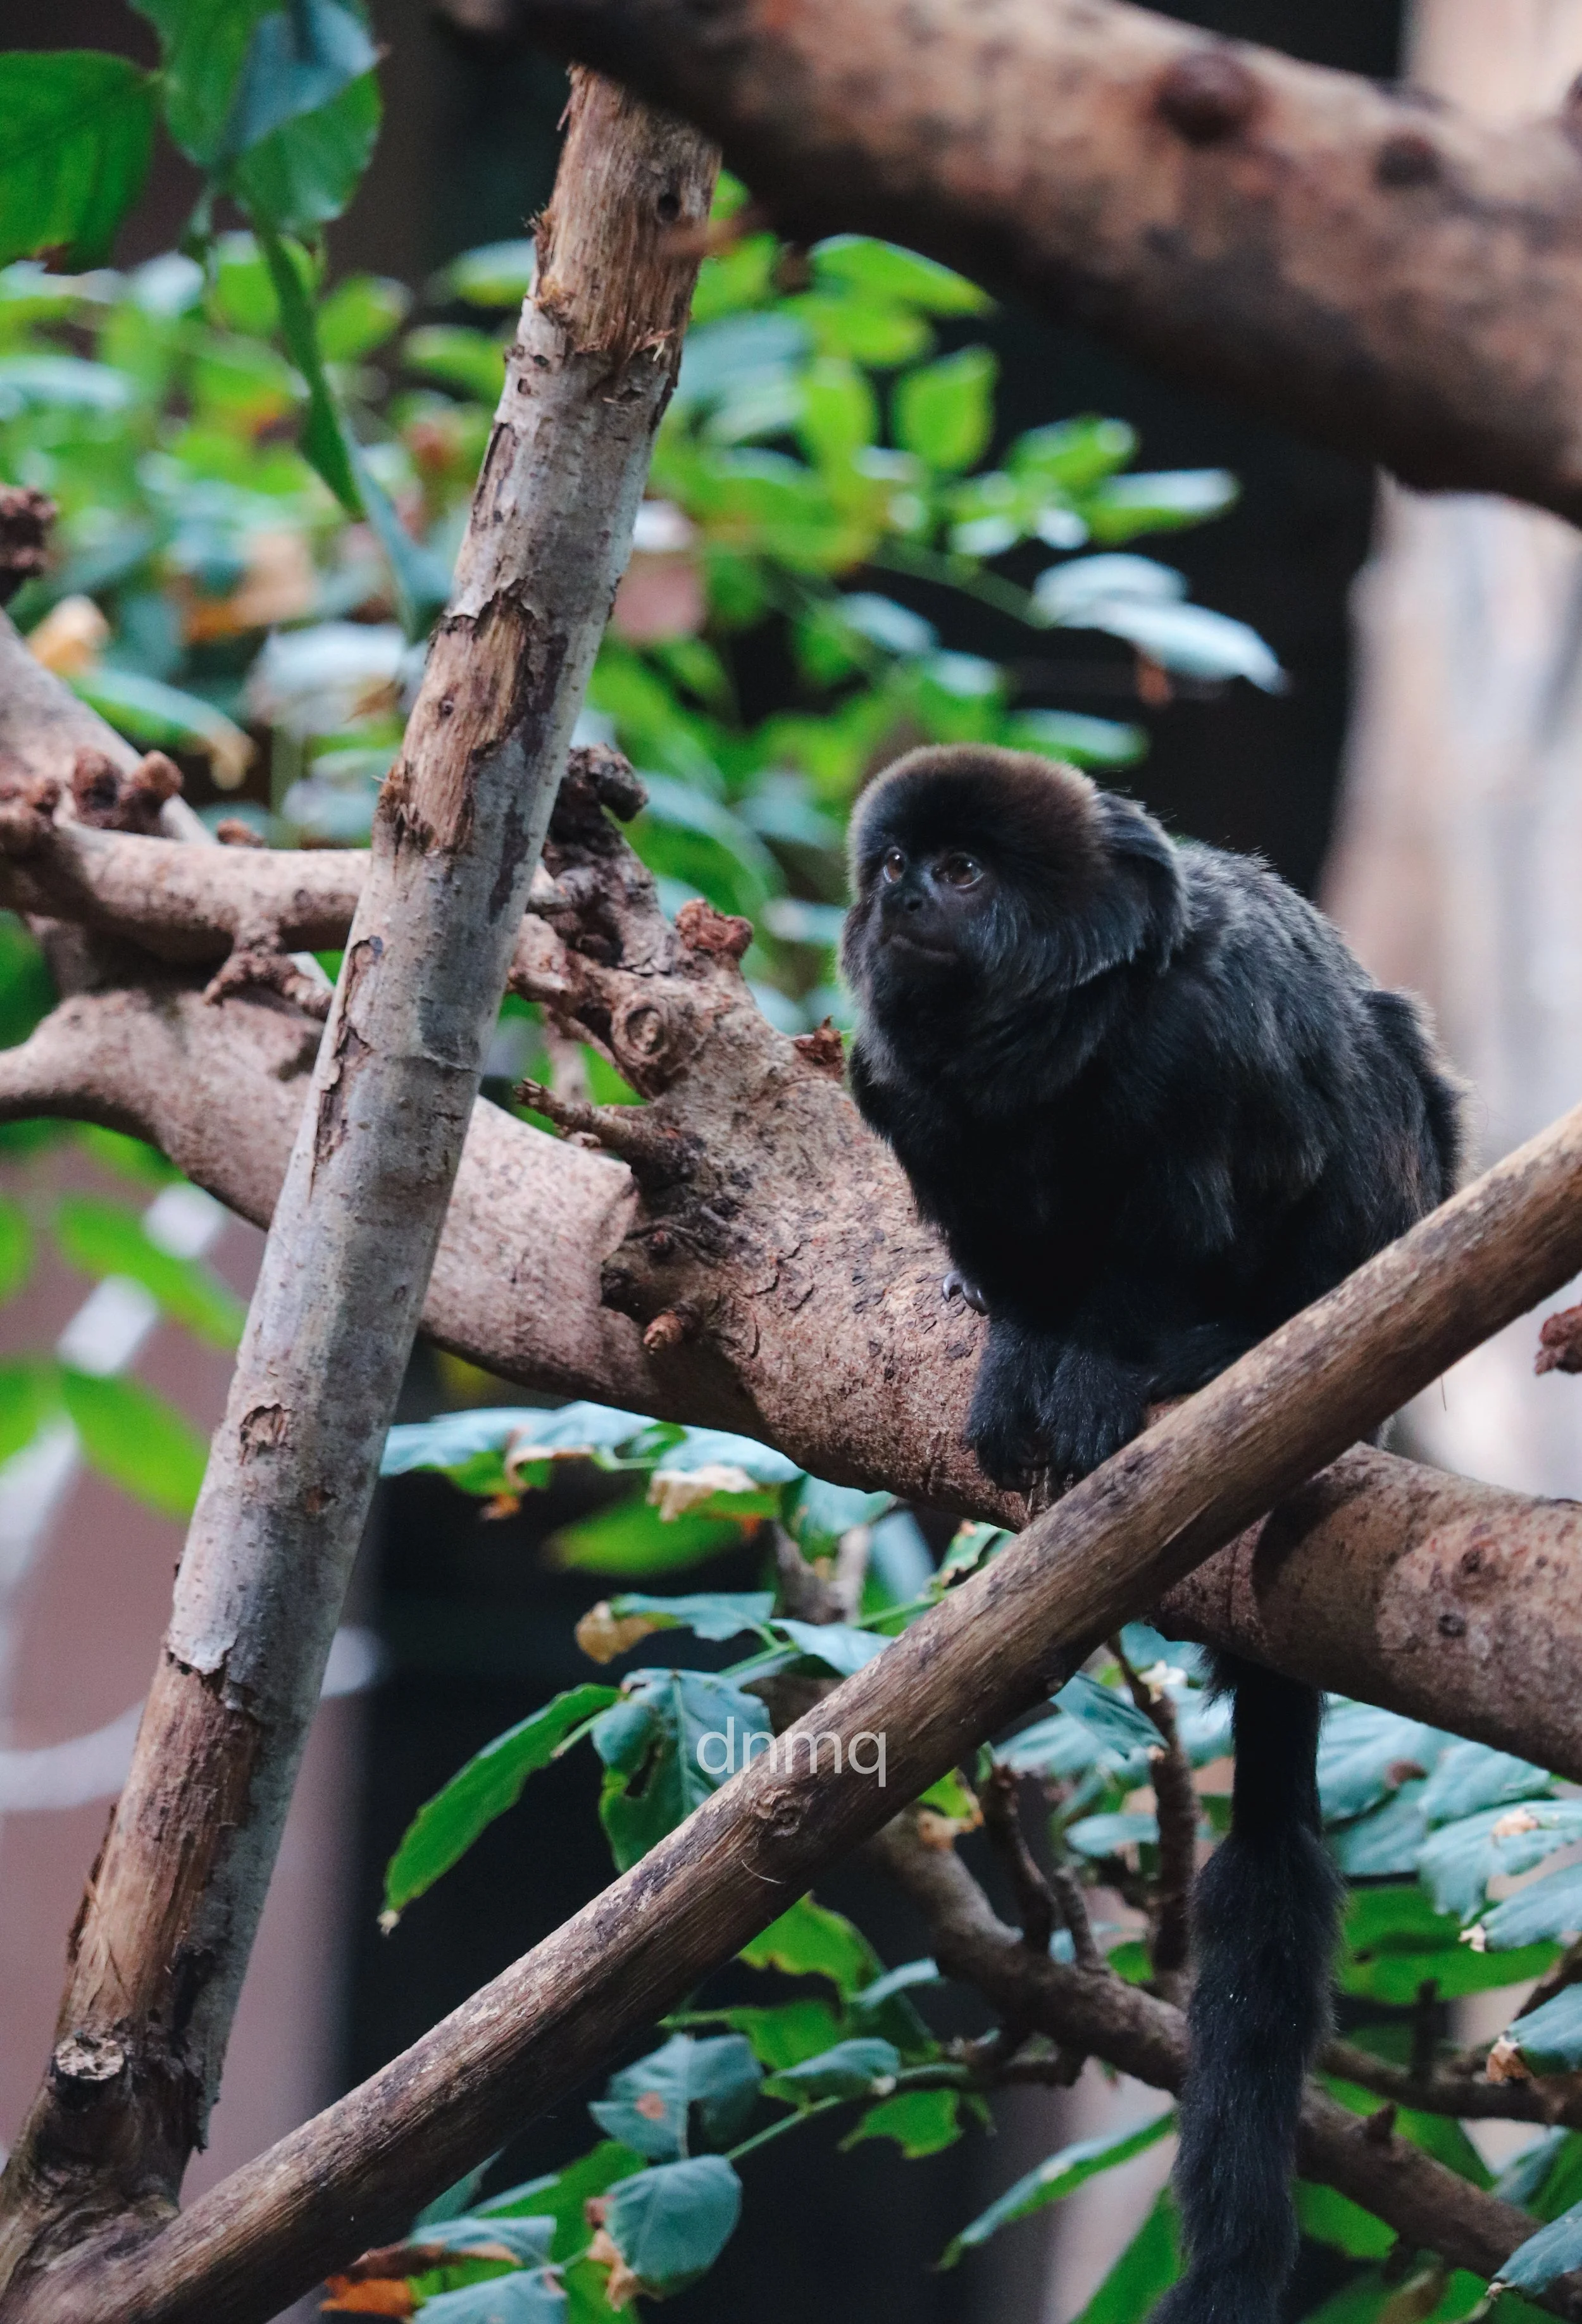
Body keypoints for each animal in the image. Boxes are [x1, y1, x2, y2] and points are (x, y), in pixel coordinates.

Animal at [841, 744, 1462, 2324]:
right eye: (896, 870)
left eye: (963, 875)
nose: (906, 899)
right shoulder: (894, 1086)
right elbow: (996, 1245)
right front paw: (1012, 1342)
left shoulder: (1206, 1036)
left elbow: (1196, 1204)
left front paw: (1113, 1357)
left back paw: (1229, 1345)